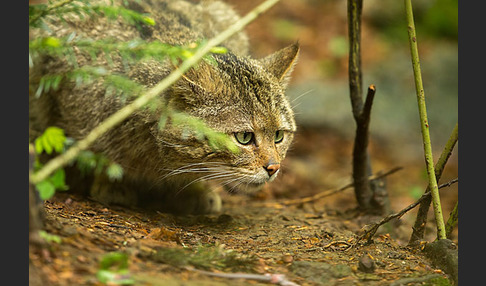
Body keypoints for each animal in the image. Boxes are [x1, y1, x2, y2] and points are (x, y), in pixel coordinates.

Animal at [30, 0, 298, 214]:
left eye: (278, 135)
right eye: (244, 137)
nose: (274, 168)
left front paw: (194, 190)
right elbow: (92, 147)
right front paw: (112, 182)